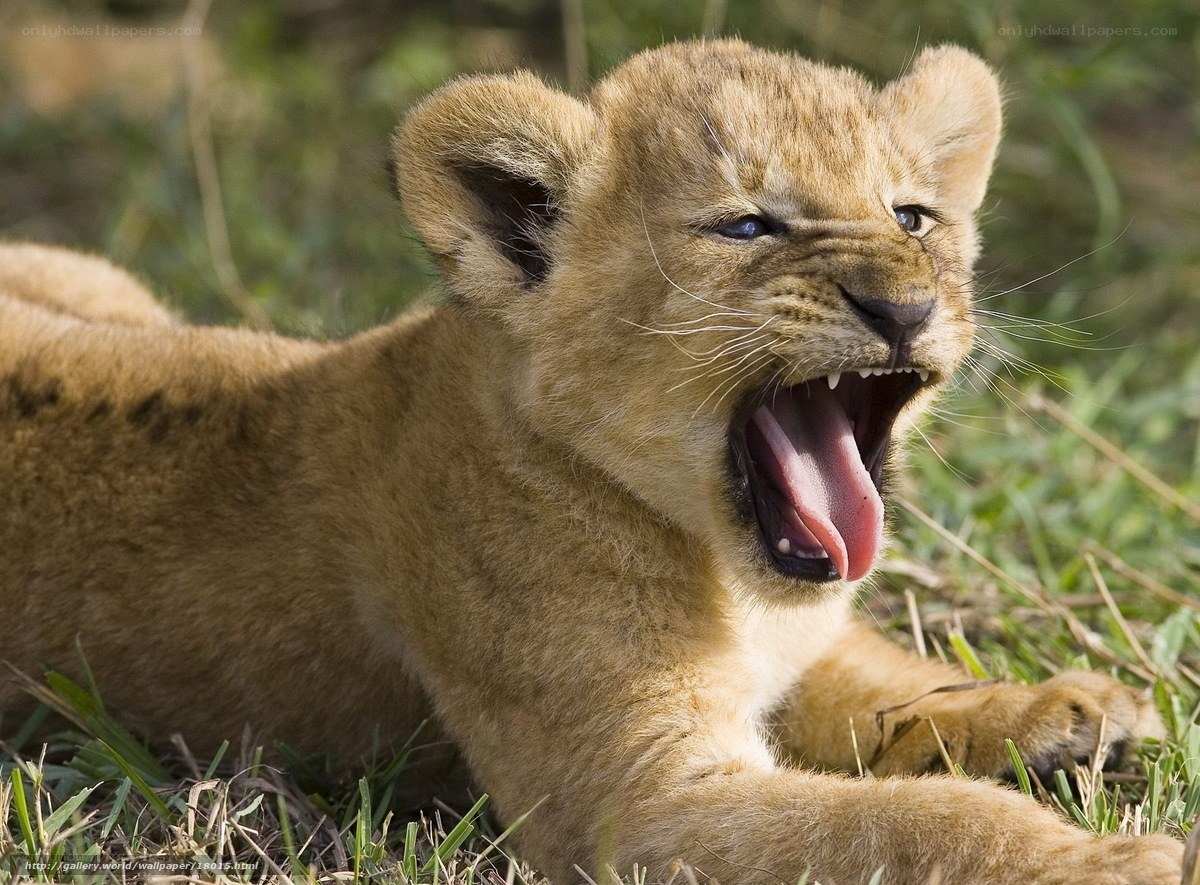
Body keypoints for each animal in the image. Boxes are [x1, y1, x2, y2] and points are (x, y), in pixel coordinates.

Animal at [0, 40, 1184, 884]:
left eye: (912, 216)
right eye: (746, 227)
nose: (903, 307)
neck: (724, 570)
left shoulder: (800, 652)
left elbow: (900, 683)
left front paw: (1066, 712)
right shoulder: (634, 804)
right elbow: (912, 826)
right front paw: (1114, 859)